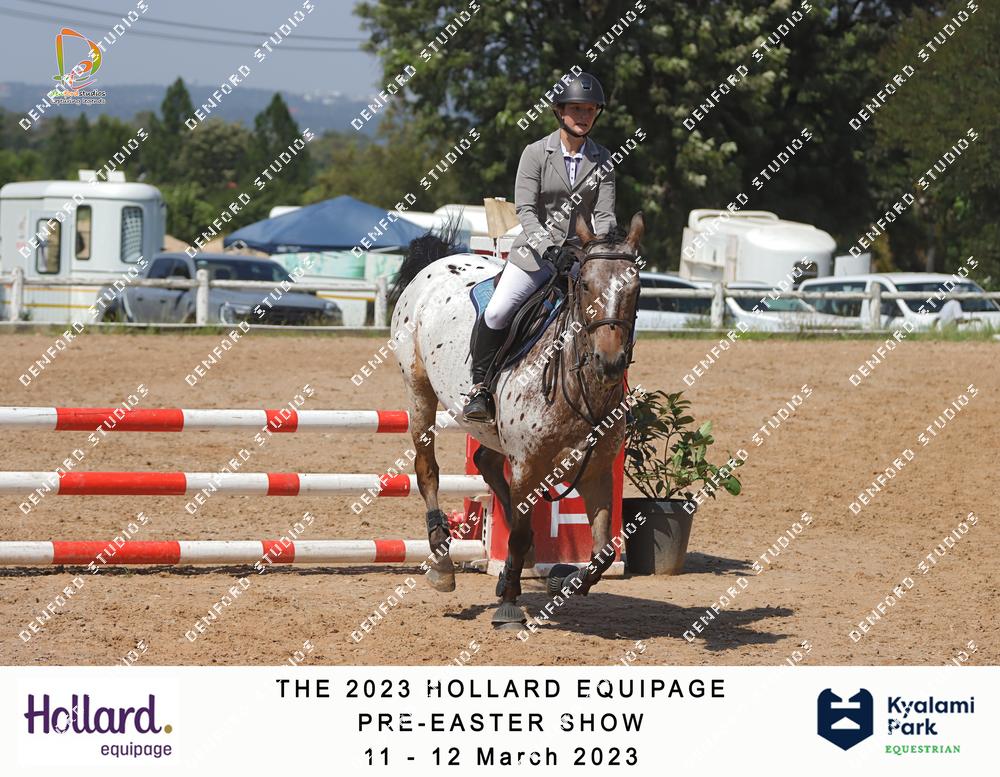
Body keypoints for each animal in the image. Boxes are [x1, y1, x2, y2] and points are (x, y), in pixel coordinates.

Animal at [390, 212, 644, 628]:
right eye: (586, 285)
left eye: (635, 287)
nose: (609, 362)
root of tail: (438, 262)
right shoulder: (527, 465)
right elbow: (520, 533)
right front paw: (509, 603)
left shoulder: (596, 470)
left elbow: (604, 550)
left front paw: (564, 580)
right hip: (419, 390)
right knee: (427, 470)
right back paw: (443, 565)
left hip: (490, 432)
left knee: (486, 462)